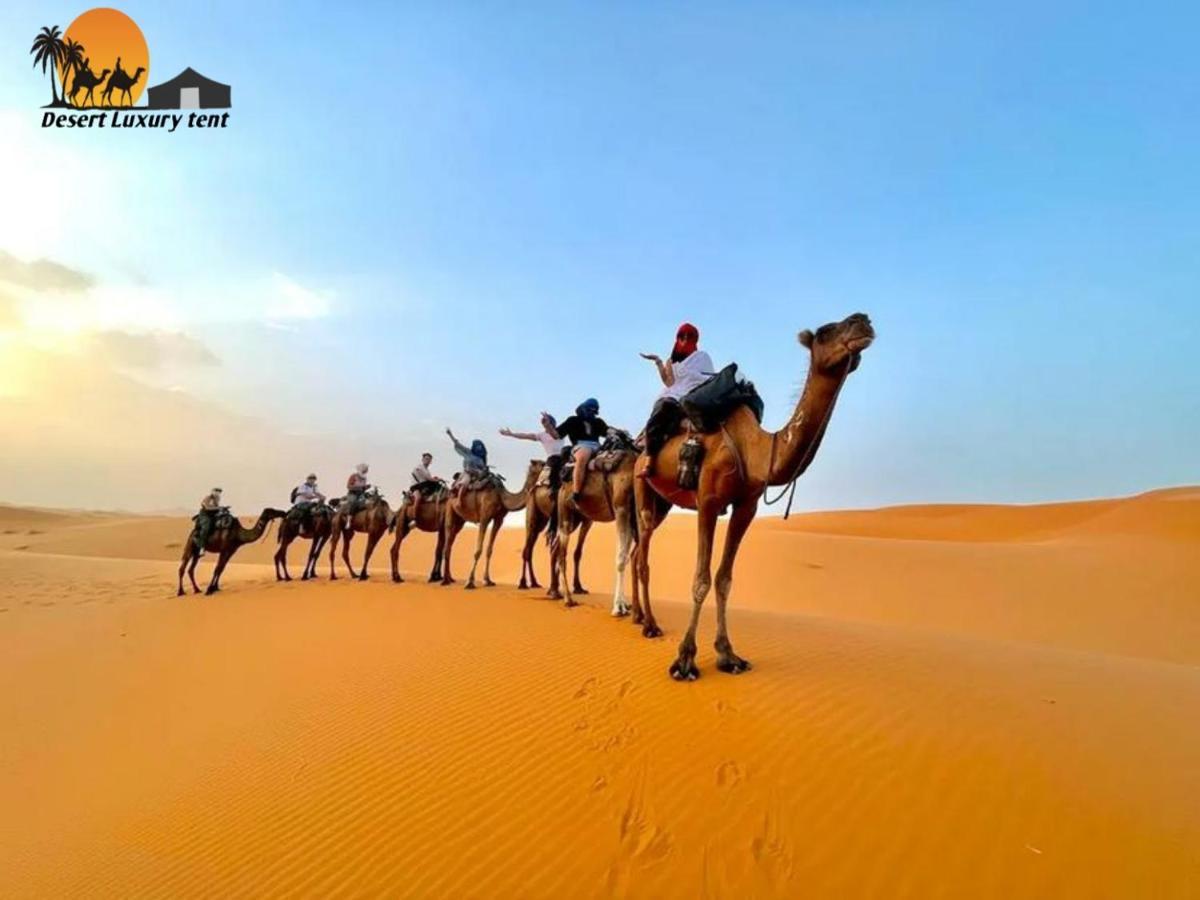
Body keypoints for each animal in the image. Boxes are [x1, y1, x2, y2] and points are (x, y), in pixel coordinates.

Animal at [516, 460, 590, 602]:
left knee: (532, 549)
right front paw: (556, 589)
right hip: (534, 515)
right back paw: (523, 583)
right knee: (527, 549)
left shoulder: (587, 520)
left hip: (543, 521)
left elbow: (577, 553)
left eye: (530, 472)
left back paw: (535, 583)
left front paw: (578, 587)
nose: (529, 487)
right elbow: (558, 551)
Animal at [552, 444, 643, 619]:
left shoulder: (630, 517)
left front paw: (624, 605)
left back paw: (554, 592)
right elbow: (621, 558)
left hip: (582, 519)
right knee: (561, 554)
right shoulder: (621, 509)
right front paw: (618, 608)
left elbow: (625, 556)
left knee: (555, 547)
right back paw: (568, 598)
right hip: (565, 515)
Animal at [633, 314, 878, 681]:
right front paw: (685, 660)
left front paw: (728, 654)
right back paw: (648, 624)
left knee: (637, 553)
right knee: (641, 555)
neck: (755, 450)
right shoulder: (707, 500)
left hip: (664, 501)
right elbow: (701, 579)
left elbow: (724, 579)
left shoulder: (745, 506)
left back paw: (638, 617)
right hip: (642, 491)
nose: (862, 321)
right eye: (824, 332)